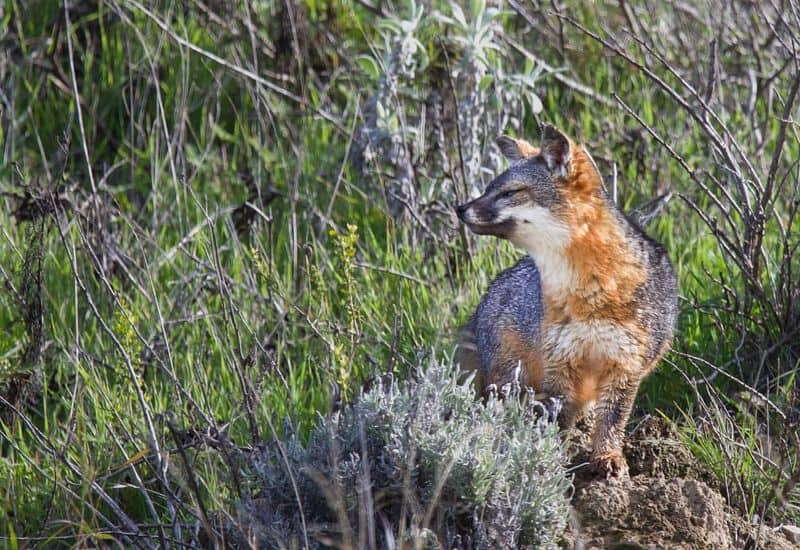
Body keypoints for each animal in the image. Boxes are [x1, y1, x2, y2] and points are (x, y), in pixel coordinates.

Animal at [456, 125, 676, 478]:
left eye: (509, 192)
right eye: (489, 189)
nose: (460, 208)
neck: (590, 294)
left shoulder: (625, 366)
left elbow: (611, 423)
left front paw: (607, 457)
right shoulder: (560, 362)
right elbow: (557, 419)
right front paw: (549, 458)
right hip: (511, 376)